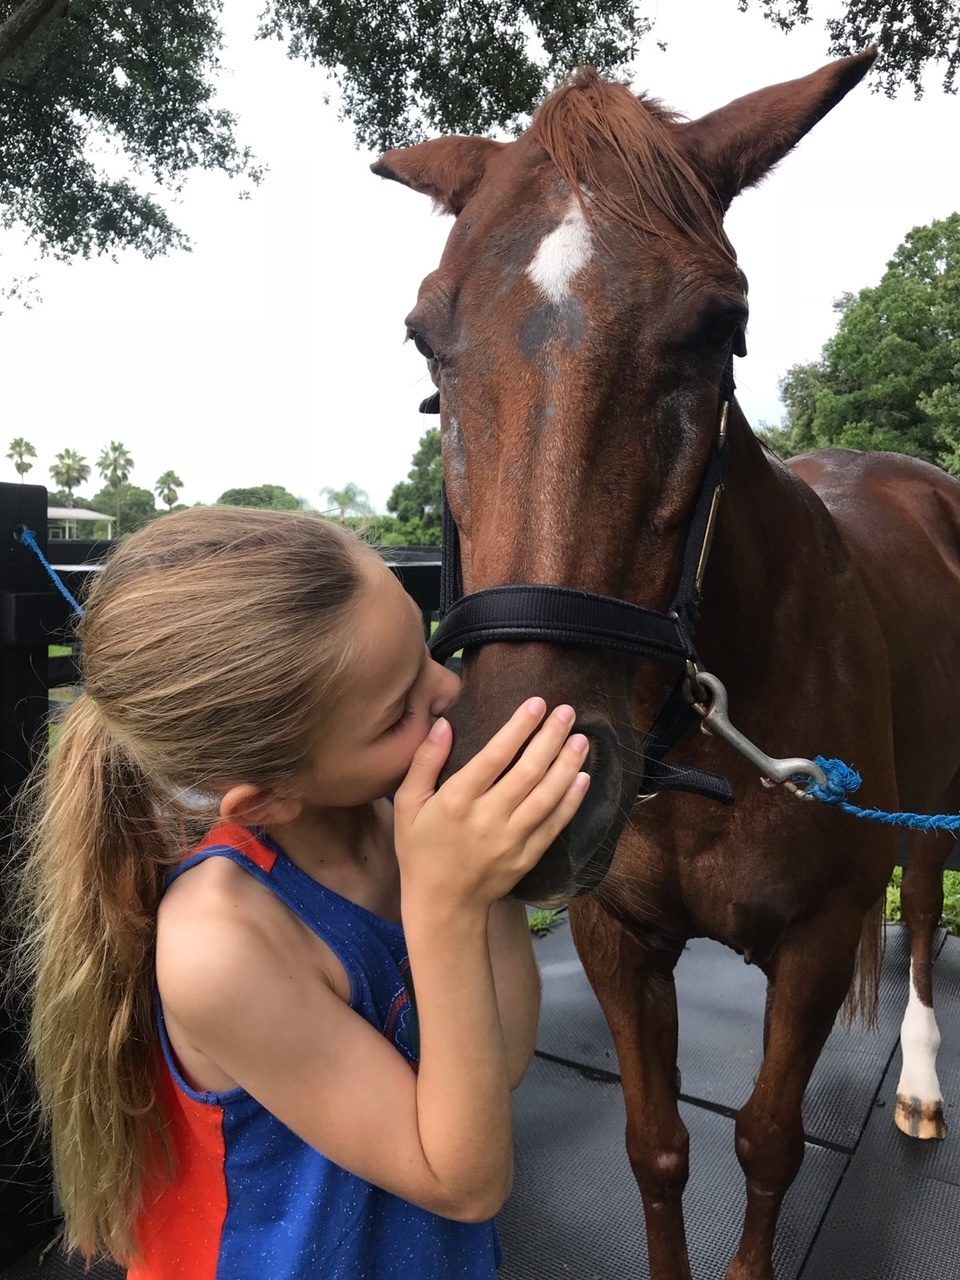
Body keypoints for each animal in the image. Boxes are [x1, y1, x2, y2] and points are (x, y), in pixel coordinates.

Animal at [373, 50, 960, 1280]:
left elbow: (770, 1140)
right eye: (424, 338)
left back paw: (923, 1078)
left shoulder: (818, 939)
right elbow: (656, 1148)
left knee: (928, 911)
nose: (523, 791)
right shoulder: (617, 938)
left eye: (721, 326)